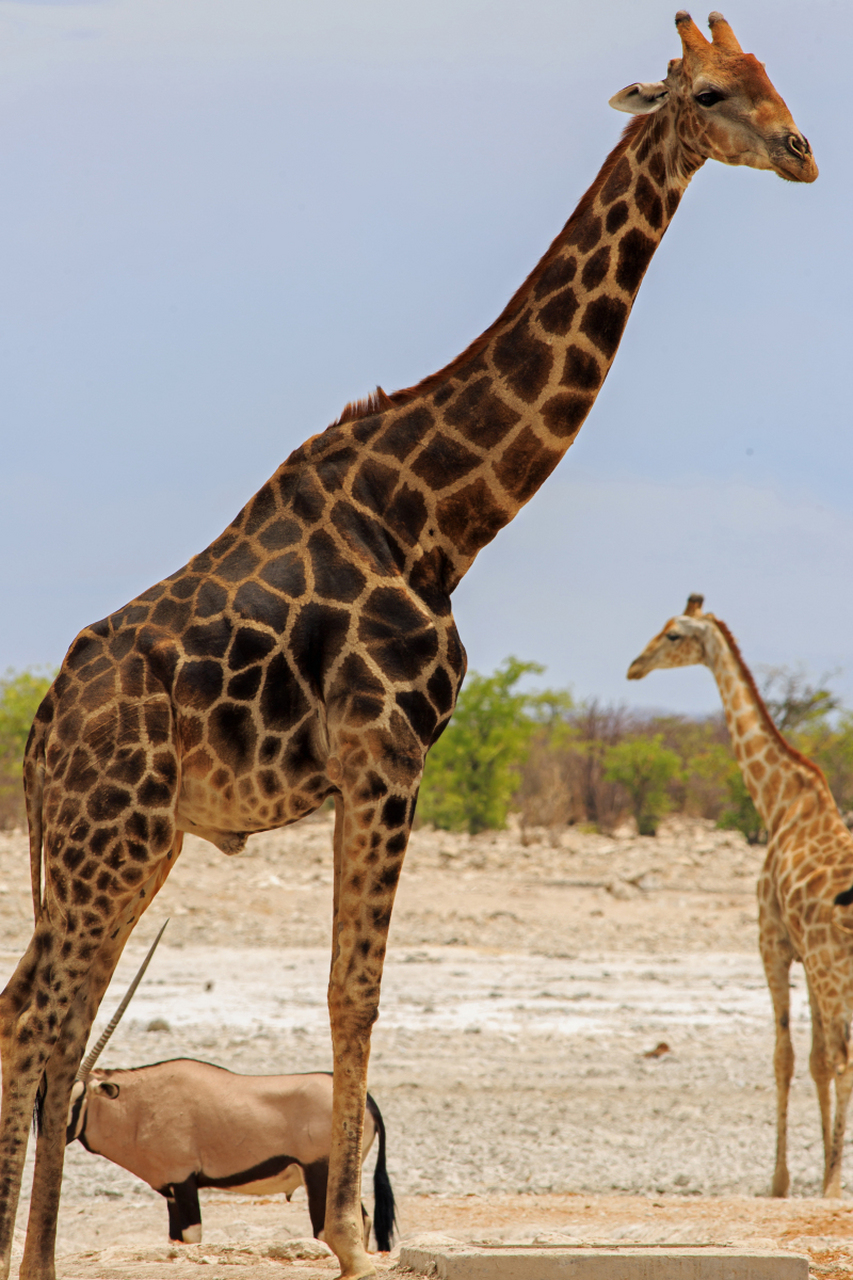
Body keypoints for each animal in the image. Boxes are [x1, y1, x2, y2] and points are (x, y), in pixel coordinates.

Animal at [0, 12, 814, 1280]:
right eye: (713, 92)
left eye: (773, 75)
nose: (800, 150)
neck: (444, 514)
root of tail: (40, 732)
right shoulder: (387, 753)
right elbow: (357, 989)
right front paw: (348, 1239)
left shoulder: (368, 768)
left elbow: (351, 985)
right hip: (112, 832)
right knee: (39, 1011)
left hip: (129, 840)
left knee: (43, 1007)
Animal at [627, 593, 853, 1192]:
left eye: (673, 635)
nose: (634, 666)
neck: (778, 803)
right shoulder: (802, 955)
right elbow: (815, 1060)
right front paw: (813, 1169)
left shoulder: (773, 944)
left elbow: (788, 1057)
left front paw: (784, 1182)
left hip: (836, 968)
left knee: (846, 1058)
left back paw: (831, 1185)